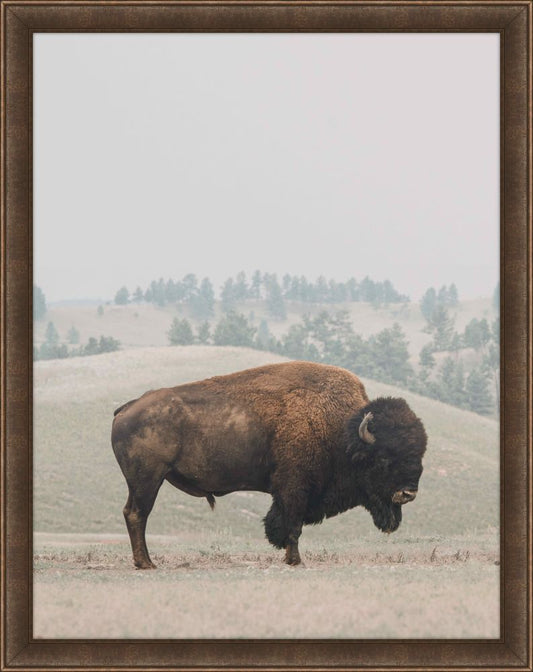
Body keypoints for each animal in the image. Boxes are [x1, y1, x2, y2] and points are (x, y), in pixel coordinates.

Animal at [111, 361, 427, 568]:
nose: (408, 493)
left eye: (419, 455)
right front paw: (295, 560)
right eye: (384, 458)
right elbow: (292, 525)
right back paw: (146, 563)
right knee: (137, 514)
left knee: (132, 513)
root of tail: (127, 407)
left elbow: (283, 524)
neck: (342, 429)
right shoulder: (294, 488)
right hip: (147, 479)